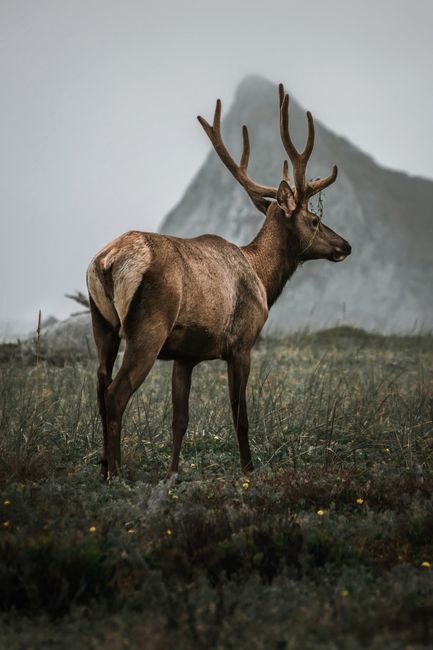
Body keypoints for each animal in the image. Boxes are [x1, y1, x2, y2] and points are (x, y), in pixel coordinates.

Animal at [86, 83, 351, 480]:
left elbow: (180, 419)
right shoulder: (242, 343)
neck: (263, 279)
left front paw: (172, 474)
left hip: (101, 324)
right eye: (315, 220)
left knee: (100, 388)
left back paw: (104, 466)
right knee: (116, 394)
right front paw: (249, 470)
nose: (345, 245)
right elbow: (240, 415)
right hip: (147, 328)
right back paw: (115, 474)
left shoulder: (185, 356)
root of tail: (107, 261)